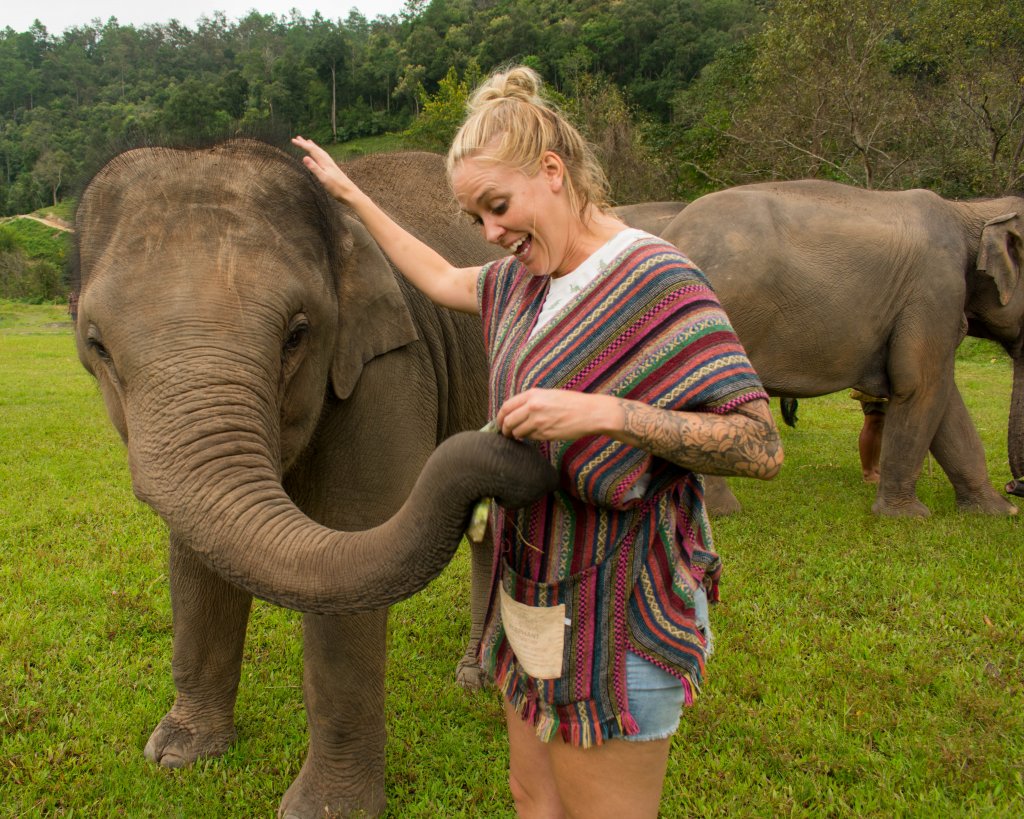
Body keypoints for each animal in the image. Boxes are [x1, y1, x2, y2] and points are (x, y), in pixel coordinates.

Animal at [70, 137, 561, 814]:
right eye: (98, 347)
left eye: (297, 335)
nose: (510, 438)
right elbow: (194, 554)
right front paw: (178, 756)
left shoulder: (388, 367)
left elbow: (348, 539)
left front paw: (324, 810)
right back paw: (475, 678)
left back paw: (479, 681)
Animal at [618, 181, 1019, 518]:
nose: (1015, 489)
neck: (968, 212)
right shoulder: (935, 288)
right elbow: (921, 385)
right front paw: (908, 517)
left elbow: (943, 395)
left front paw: (996, 512)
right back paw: (722, 511)